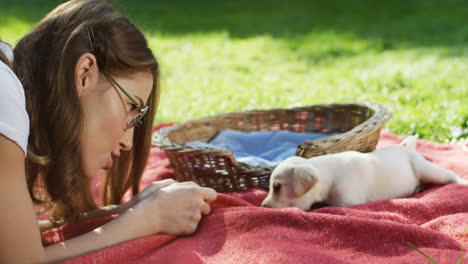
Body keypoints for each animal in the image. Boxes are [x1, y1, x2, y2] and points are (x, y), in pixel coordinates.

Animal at [262, 137, 466, 211]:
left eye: (277, 187)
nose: (263, 207)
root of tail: (407, 148)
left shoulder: (346, 201)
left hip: (428, 170)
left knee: (449, 175)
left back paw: (462, 182)